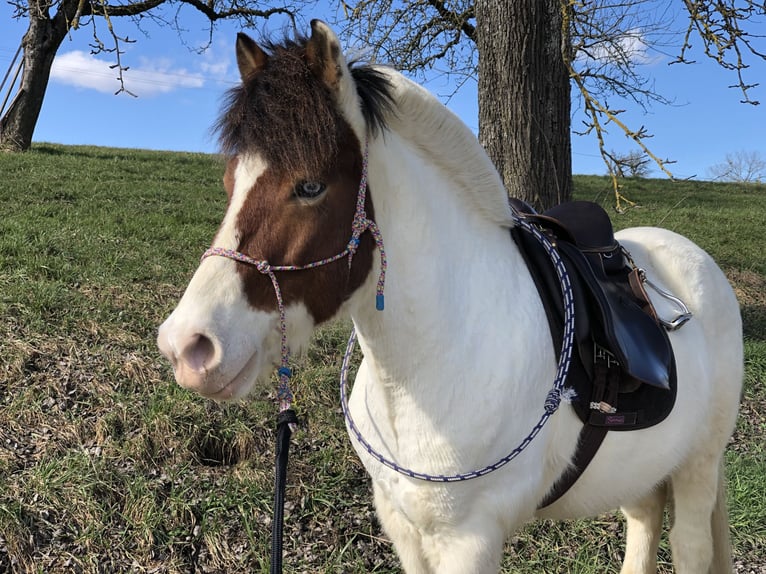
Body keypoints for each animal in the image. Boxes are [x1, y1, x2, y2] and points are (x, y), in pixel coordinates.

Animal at [157, 21, 743, 574]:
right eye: (231, 181)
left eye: (310, 186)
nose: (187, 345)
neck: (430, 360)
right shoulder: (401, 522)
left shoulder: (469, 540)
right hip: (641, 472)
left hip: (698, 466)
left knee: (689, 547)